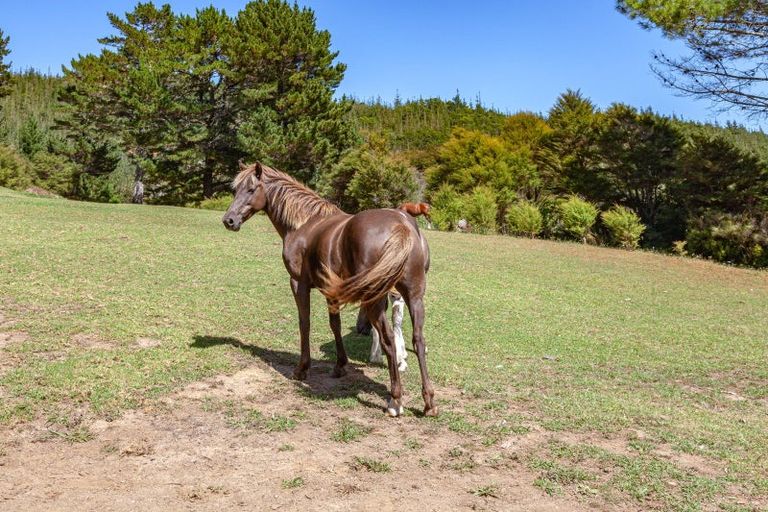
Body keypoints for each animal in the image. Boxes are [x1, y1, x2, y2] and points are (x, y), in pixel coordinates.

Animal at [222, 162, 438, 418]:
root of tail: (401, 224)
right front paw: (340, 366)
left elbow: (304, 323)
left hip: (375, 300)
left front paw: (302, 368)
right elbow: (335, 325)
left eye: (251, 189)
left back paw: (395, 400)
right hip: (413, 297)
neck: (305, 223)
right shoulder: (331, 291)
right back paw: (429, 402)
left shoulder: (298, 283)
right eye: (236, 189)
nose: (229, 220)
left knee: (388, 339)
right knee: (418, 340)